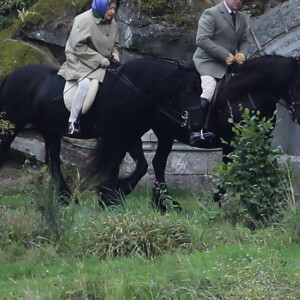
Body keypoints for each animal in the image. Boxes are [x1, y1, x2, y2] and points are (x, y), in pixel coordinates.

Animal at [0, 57, 204, 205]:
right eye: (189, 89)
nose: (196, 124)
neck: (131, 92)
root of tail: (10, 76)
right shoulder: (116, 135)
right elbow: (115, 165)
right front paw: (109, 197)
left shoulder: (130, 135)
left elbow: (140, 166)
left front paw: (114, 193)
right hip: (11, 125)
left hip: (49, 130)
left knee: (53, 162)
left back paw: (66, 198)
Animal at [108, 54, 300, 209]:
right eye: (298, 85)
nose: (298, 117)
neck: (246, 93)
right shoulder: (229, 143)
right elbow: (227, 171)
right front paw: (213, 203)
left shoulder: (261, 140)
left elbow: (264, 167)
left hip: (165, 134)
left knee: (158, 163)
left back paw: (162, 202)